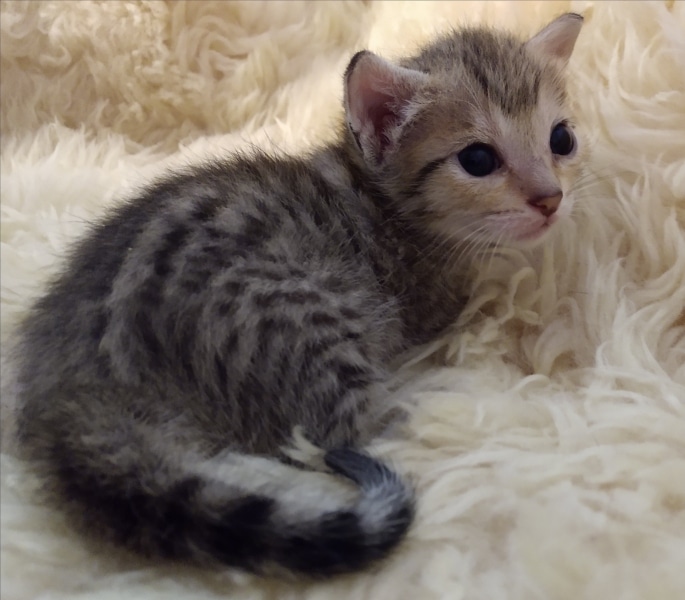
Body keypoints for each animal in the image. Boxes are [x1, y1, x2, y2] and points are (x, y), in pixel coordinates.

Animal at [11, 13, 584, 578]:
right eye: (478, 159)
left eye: (561, 139)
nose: (549, 198)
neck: (382, 202)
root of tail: (83, 388)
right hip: (304, 317)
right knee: (348, 427)